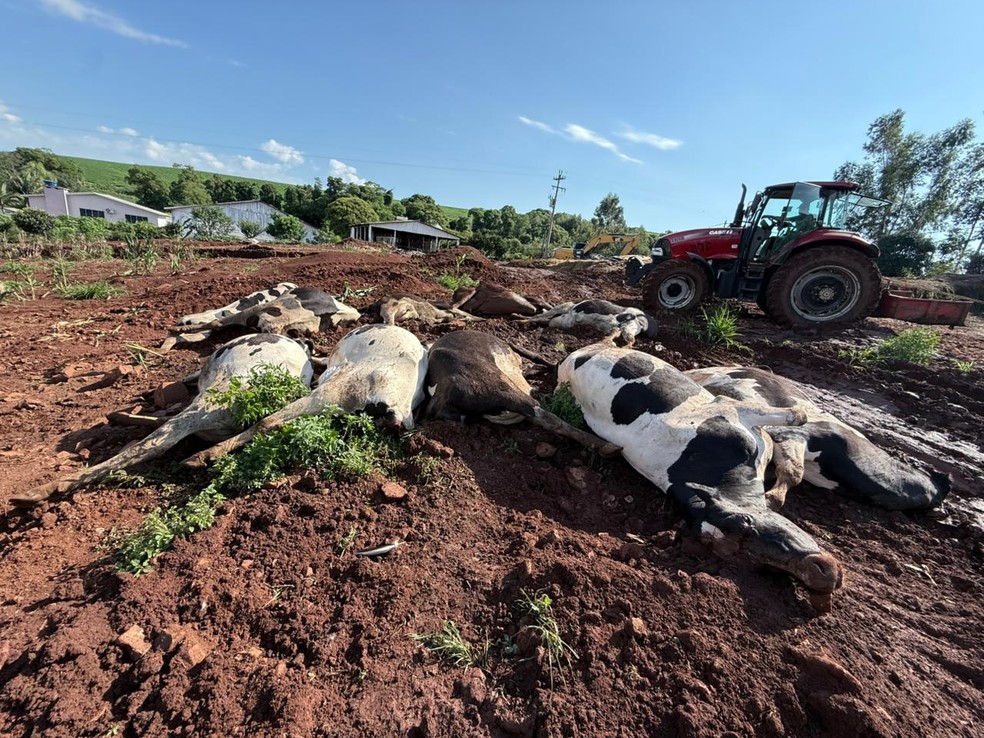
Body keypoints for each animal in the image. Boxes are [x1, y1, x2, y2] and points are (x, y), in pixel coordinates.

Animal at [558, 342, 844, 607]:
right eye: (743, 529)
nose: (820, 577)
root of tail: (573, 356)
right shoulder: (731, 412)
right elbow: (798, 415)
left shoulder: (730, 413)